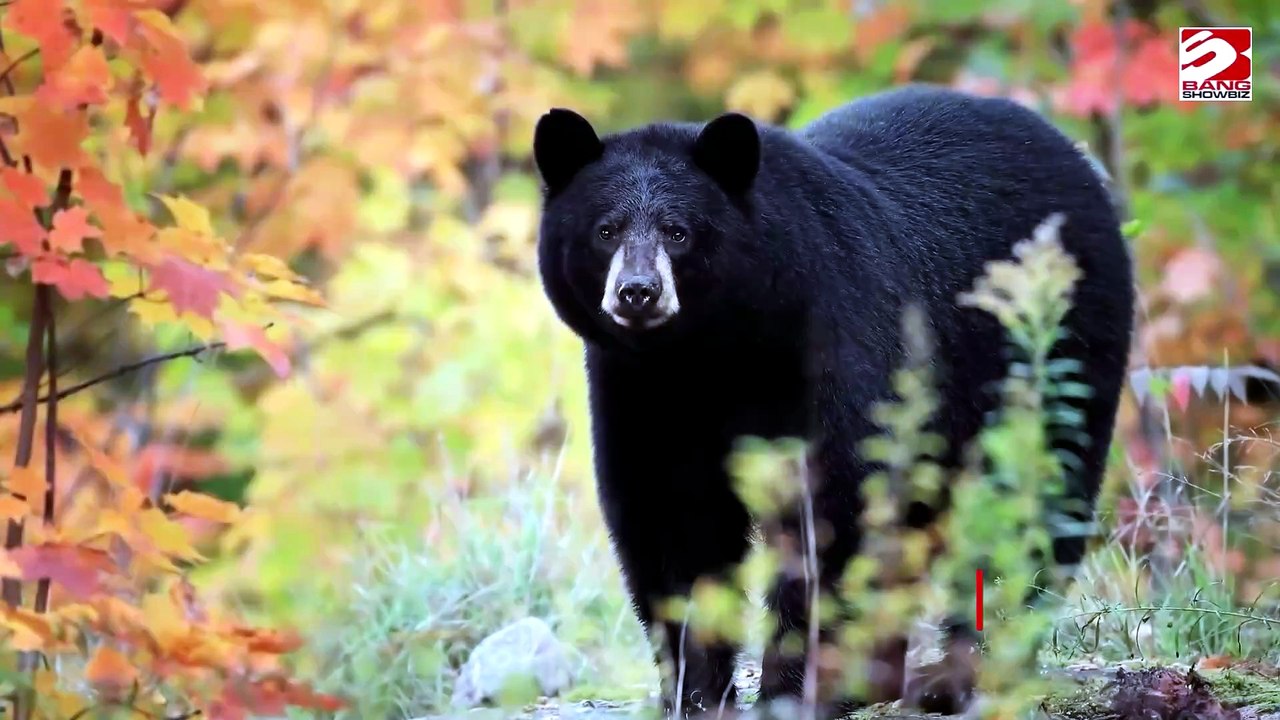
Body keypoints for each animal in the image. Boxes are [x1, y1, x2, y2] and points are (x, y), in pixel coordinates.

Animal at [531, 84, 1134, 717]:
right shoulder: (637, 388)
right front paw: (696, 693)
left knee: (1035, 493)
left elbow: (835, 502)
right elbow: (670, 518)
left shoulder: (834, 339)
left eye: (679, 231)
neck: (713, 350)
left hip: (1057, 349)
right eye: (606, 230)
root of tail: (1074, 157)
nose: (638, 292)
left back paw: (964, 674)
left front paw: (792, 689)